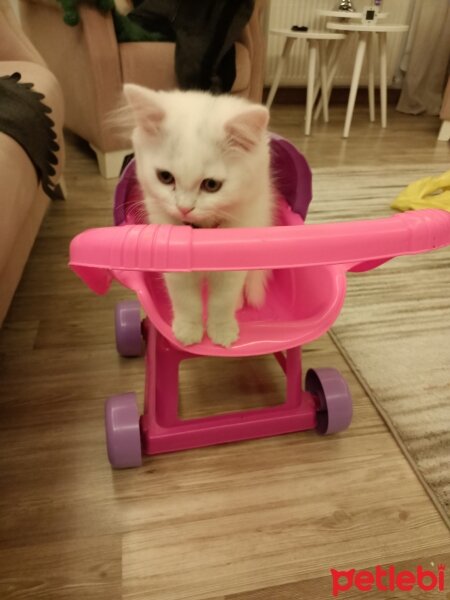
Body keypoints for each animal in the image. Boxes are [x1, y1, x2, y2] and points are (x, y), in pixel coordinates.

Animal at [121, 84, 274, 346]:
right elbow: (185, 299)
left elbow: (222, 299)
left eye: (211, 185)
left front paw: (221, 331)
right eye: (165, 177)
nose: (184, 207)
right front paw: (188, 330)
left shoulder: (234, 256)